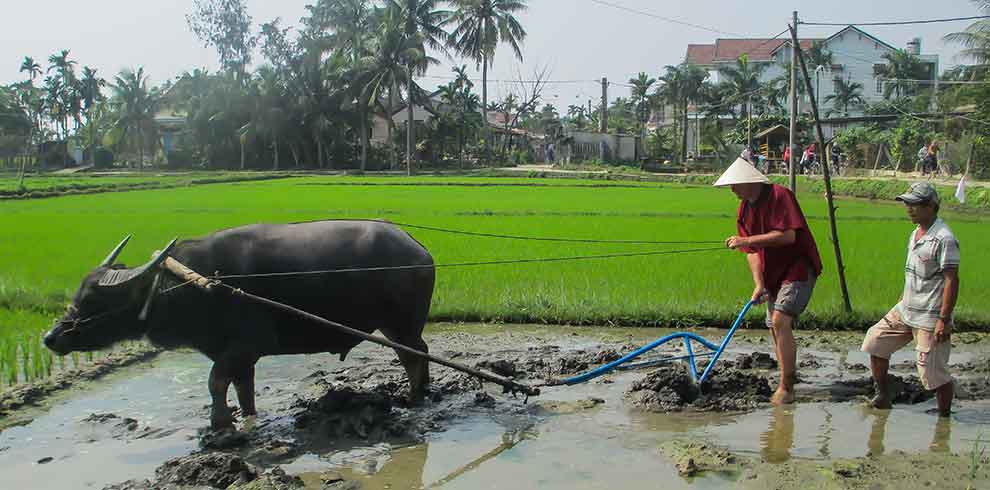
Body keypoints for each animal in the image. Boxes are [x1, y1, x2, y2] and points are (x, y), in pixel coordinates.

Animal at [41, 220, 438, 430]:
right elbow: (242, 387)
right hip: (397, 326)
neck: (188, 284)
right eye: (79, 293)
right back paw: (424, 391)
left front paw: (219, 425)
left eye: (95, 301)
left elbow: (216, 381)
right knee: (420, 352)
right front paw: (246, 418)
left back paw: (413, 397)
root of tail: (418, 248)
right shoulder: (239, 353)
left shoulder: (246, 345)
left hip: (400, 324)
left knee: (413, 355)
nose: (51, 337)